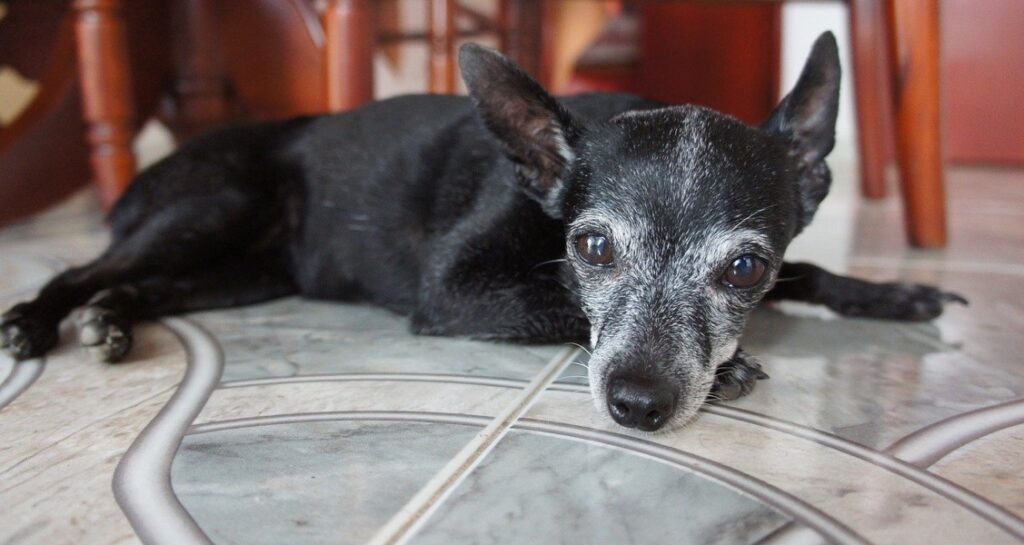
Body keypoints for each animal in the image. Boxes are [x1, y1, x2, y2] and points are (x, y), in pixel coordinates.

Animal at [0, 34, 962, 432]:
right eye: (592, 248)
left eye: (743, 268)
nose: (637, 403)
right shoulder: (455, 289)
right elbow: (557, 306)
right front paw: (732, 368)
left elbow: (813, 272)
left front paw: (892, 292)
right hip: (214, 207)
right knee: (83, 266)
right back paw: (40, 321)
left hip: (246, 273)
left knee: (140, 283)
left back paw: (113, 320)